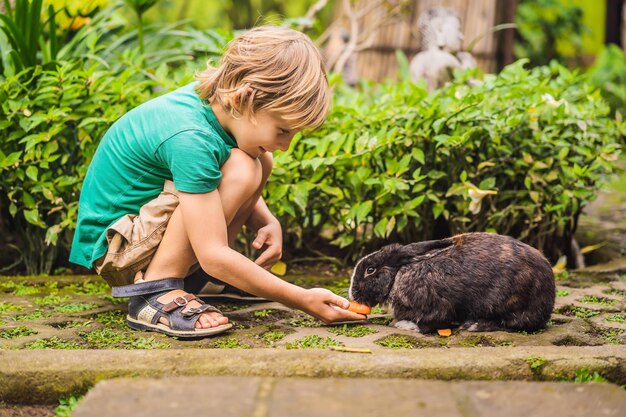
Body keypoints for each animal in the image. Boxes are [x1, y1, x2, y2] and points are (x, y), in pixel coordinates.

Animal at [348, 232, 552, 334]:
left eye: (370, 270)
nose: (352, 294)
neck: (398, 274)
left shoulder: (437, 307)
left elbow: (432, 323)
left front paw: (403, 325)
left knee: (509, 323)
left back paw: (473, 325)